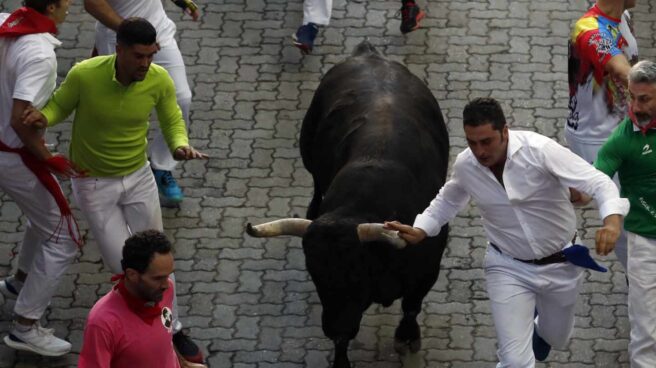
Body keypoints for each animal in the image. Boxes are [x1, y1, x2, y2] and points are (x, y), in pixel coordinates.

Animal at [246, 41, 452, 366]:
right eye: (315, 273)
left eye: (353, 270)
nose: (332, 327)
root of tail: (368, 53)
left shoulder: (427, 270)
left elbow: (411, 306)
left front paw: (407, 337)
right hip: (308, 153)